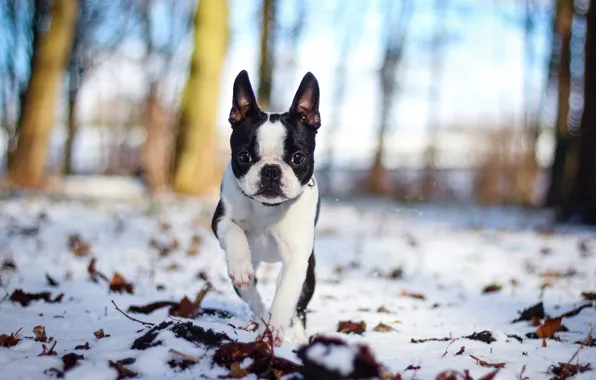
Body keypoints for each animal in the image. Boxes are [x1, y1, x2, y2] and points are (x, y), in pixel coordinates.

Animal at [211, 70, 322, 346]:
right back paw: (258, 314)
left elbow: (284, 297)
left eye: (298, 158)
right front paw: (240, 267)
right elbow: (233, 232)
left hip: (308, 274)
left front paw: (276, 329)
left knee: (299, 307)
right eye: (244, 157)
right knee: (251, 295)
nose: (271, 170)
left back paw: (296, 335)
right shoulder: (220, 220)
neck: (267, 208)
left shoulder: (296, 258)